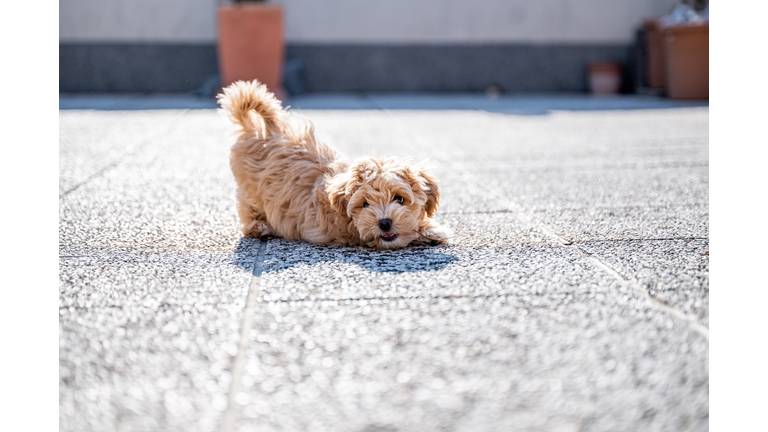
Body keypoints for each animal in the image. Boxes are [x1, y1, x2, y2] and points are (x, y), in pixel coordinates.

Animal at [216, 80, 452, 250]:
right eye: (365, 204)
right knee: (247, 207)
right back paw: (259, 226)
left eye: (400, 199)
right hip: (250, 189)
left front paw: (430, 230)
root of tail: (260, 130)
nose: (385, 223)